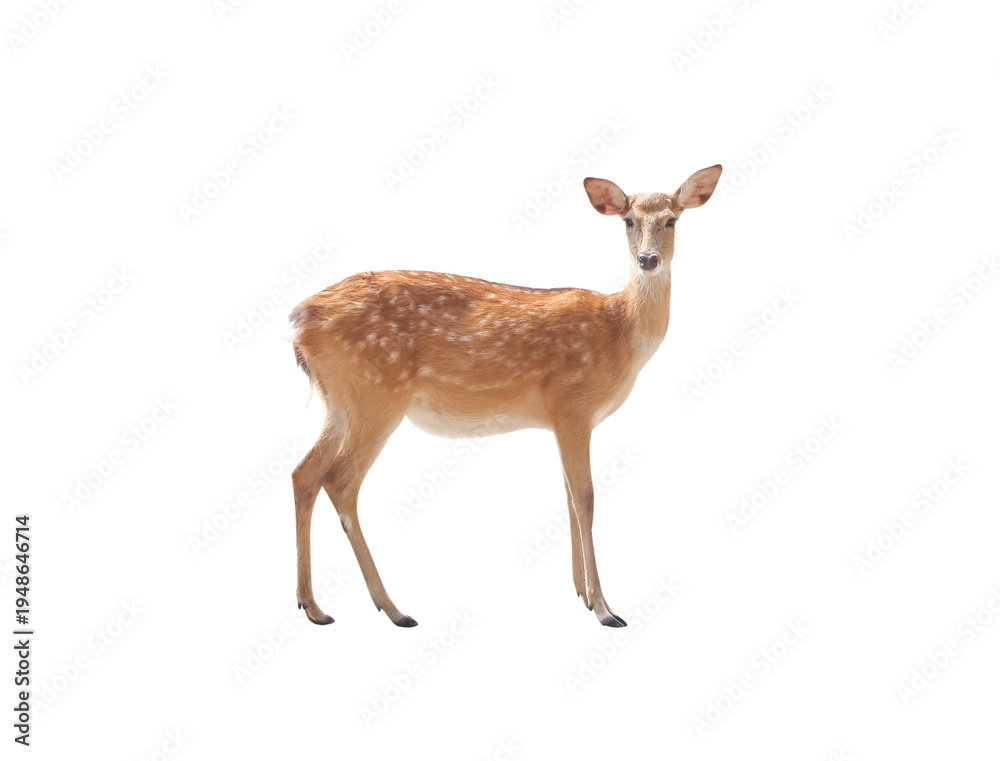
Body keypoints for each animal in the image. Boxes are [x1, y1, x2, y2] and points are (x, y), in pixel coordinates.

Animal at [288, 164, 722, 627]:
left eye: (671, 220)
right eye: (628, 221)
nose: (648, 260)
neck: (620, 332)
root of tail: (298, 323)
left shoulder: (560, 419)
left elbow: (568, 495)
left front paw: (581, 594)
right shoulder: (573, 405)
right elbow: (585, 498)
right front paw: (605, 609)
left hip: (339, 400)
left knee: (304, 473)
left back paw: (313, 606)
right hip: (376, 395)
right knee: (340, 480)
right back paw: (393, 608)